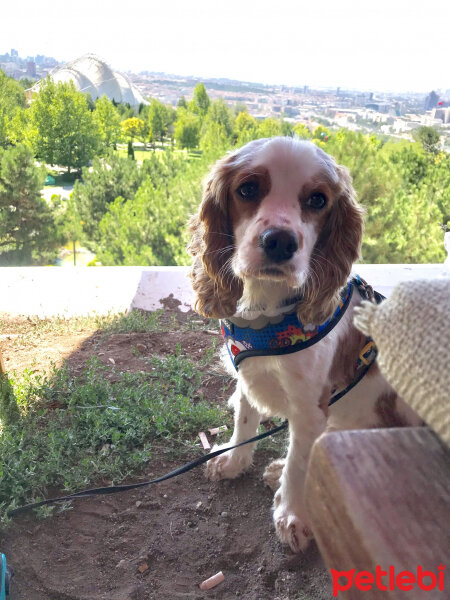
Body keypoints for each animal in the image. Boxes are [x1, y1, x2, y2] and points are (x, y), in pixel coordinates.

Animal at [188, 136, 420, 552]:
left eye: (317, 199)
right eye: (248, 189)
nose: (280, 241)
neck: (268, 316)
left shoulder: (310, 407)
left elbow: (299, 464)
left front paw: (292, 515)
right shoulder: (248, 376)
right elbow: (244, 423)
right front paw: (233, 463)